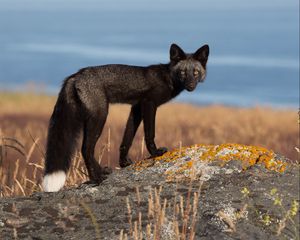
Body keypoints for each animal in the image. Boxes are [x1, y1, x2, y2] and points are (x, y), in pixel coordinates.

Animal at [42, 44, 210, 192]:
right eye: (182, 73)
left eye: (195, 73)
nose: (190, 86)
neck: (167, 78)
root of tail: (75, 75)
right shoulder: (149, 103)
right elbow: (149, 134)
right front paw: (155, 153)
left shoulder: (136, 108)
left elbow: (127, 139)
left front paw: (123, 163)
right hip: (100, 116)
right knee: (86, 149)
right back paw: (96, 178)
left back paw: (102, 172)